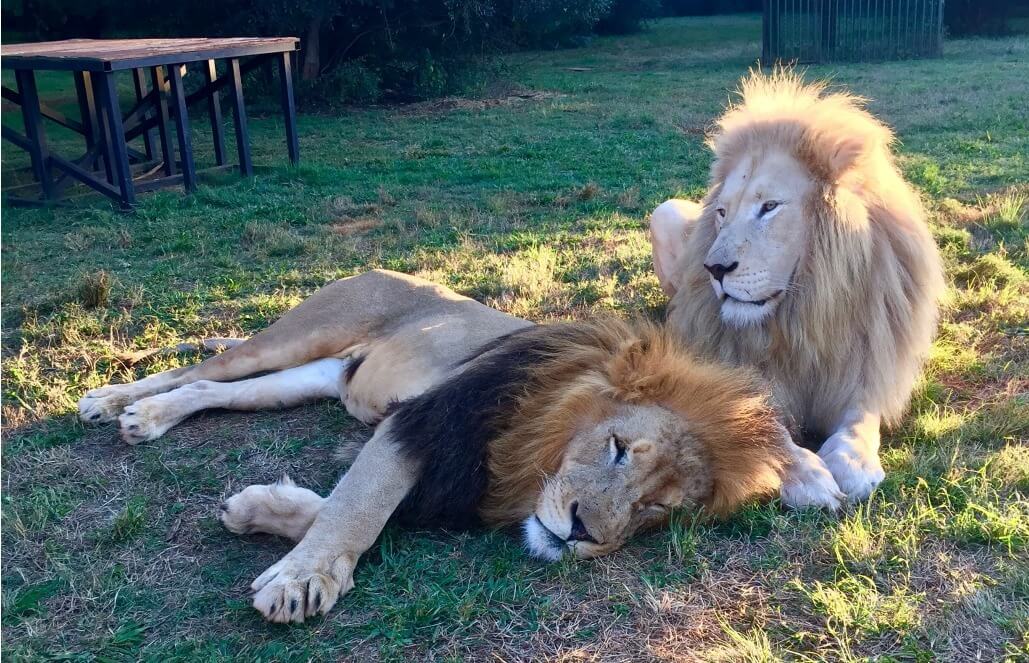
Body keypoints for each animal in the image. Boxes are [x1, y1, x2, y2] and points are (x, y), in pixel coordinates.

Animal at [654, 71, 942, 502]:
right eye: (722, 212)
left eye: (770, 207)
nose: (714, 268)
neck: (805, 309)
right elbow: (763, 423)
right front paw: (806, 475)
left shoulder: (868, 363)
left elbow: (861, 415)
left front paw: (853, 461)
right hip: (665, 212)